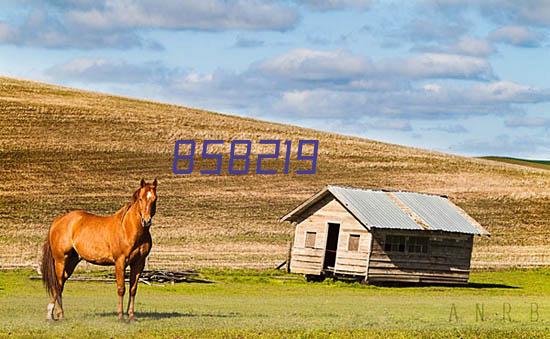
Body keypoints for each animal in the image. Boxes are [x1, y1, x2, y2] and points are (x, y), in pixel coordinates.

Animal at [40, 178, 157, 322]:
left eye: (154, 199)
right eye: (141, 199)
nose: (146, 221)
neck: (128, 229)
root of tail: (58, 220)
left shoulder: (139, 263)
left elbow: (133, 289)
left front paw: (131, 317)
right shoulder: (120, 262)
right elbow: (121, 288)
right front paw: (120, 317)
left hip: (71, 261)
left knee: (60, 285)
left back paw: (58, 315)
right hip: (60, 261)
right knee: (57, 284)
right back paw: (52, 315)